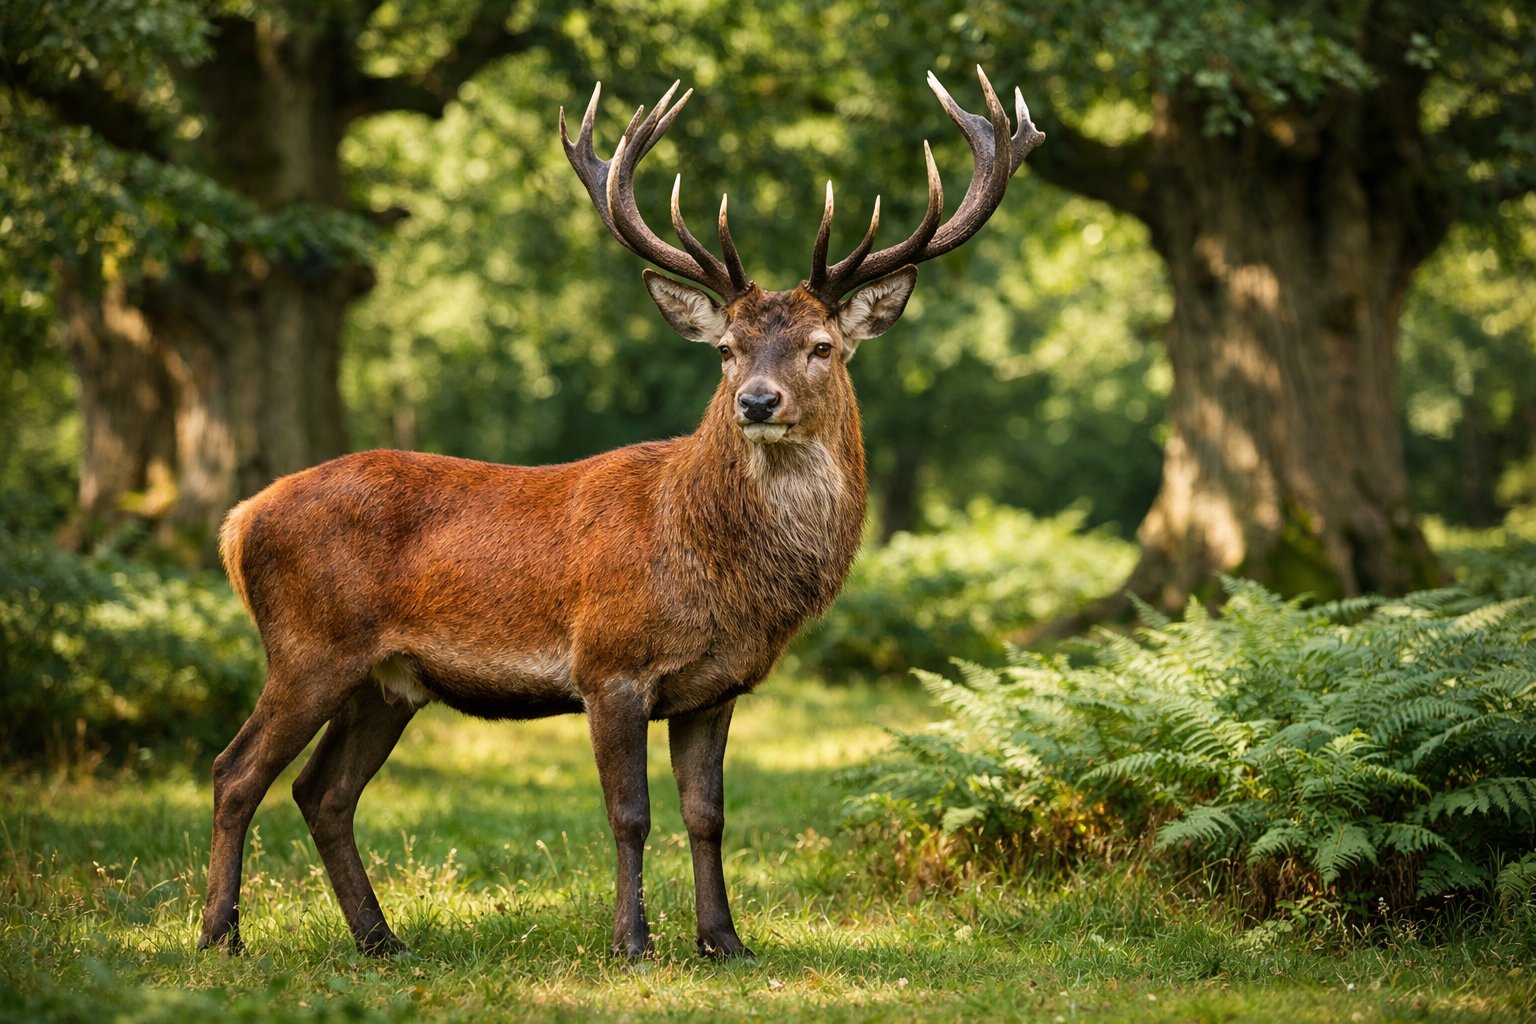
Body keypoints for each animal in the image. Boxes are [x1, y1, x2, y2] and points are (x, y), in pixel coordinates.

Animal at [197, 66, 1044, 961]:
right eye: (726, 349)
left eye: (821, 346)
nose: (756, 401)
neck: (712, 566)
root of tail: (239, 521)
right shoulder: (609, 664)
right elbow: (630, 815)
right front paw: (631, 941)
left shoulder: (715, 687)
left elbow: (707, 816)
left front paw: (724, 941)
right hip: (309, 645)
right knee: (236, 770)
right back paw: (220, 935)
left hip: (387, 682)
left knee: (322, 791)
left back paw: (379, 939)